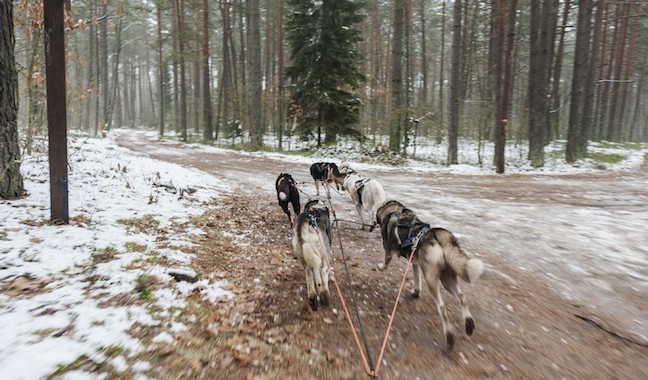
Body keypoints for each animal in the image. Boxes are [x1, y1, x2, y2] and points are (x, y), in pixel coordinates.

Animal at [374, 200, 480, 348]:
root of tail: (437, 234)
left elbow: (385, 264)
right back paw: (469, 324)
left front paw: (380, 267)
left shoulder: (389, 252)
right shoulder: (415, 263)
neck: (396, 211)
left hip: (432, 280)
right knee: (462, 297)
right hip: (447, 280)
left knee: (442, 307)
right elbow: (417, 280)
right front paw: (415, 292)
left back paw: (449, 336)